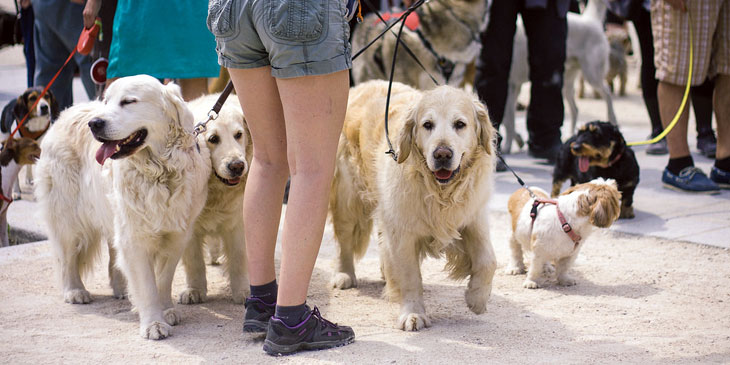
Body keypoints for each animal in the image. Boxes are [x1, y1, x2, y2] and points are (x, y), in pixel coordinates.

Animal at [36, 75, 210, 340]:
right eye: (106, 101)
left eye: (129, 101)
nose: (94, 123)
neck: (159, 171)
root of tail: (64, 114)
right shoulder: (135, 237)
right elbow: (147, 285)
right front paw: (153, 323)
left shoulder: (176, 236)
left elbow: (163, 278)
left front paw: (166, 309)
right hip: (68, 216)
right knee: (66, 256)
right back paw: (75, 291)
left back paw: (120, 288)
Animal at [178, 94, 250, 304]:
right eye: (213, 139)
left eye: (238, 135)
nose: (237, 166)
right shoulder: (189, 228)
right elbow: (194, 261)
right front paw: (194, 290)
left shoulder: (237, 222)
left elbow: (238, 258)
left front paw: (243, 291)